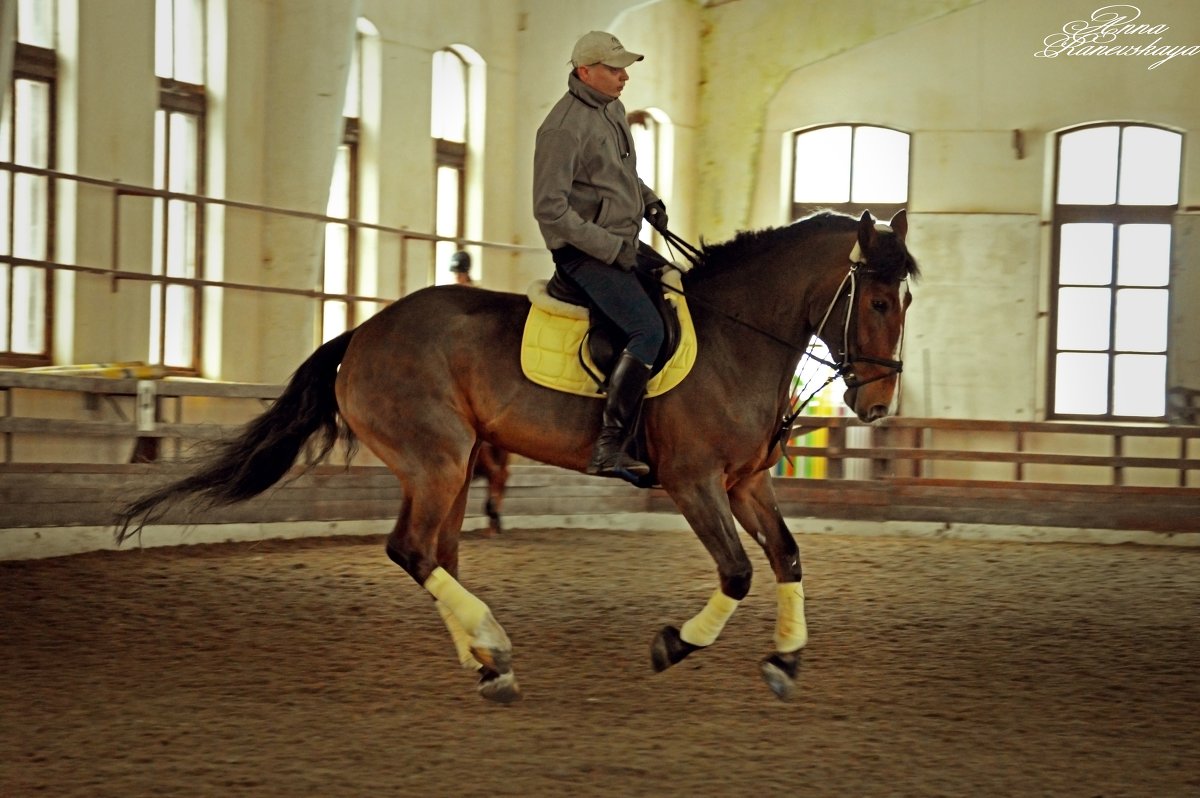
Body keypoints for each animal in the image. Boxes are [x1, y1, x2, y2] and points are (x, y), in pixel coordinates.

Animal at [114, 208, 916, 700]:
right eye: (878, 302)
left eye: (905, 302)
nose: (878, 404)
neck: (736, 337)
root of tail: (364, 334)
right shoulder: (693, 482)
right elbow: (740, 571)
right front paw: (673, 645)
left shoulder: (746, 482)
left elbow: (787, 557)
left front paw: (785, 660)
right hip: (437, 457)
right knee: (412, 550)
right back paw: (493, 645)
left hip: (454, 463)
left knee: (438, 553)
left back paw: (486, 662)